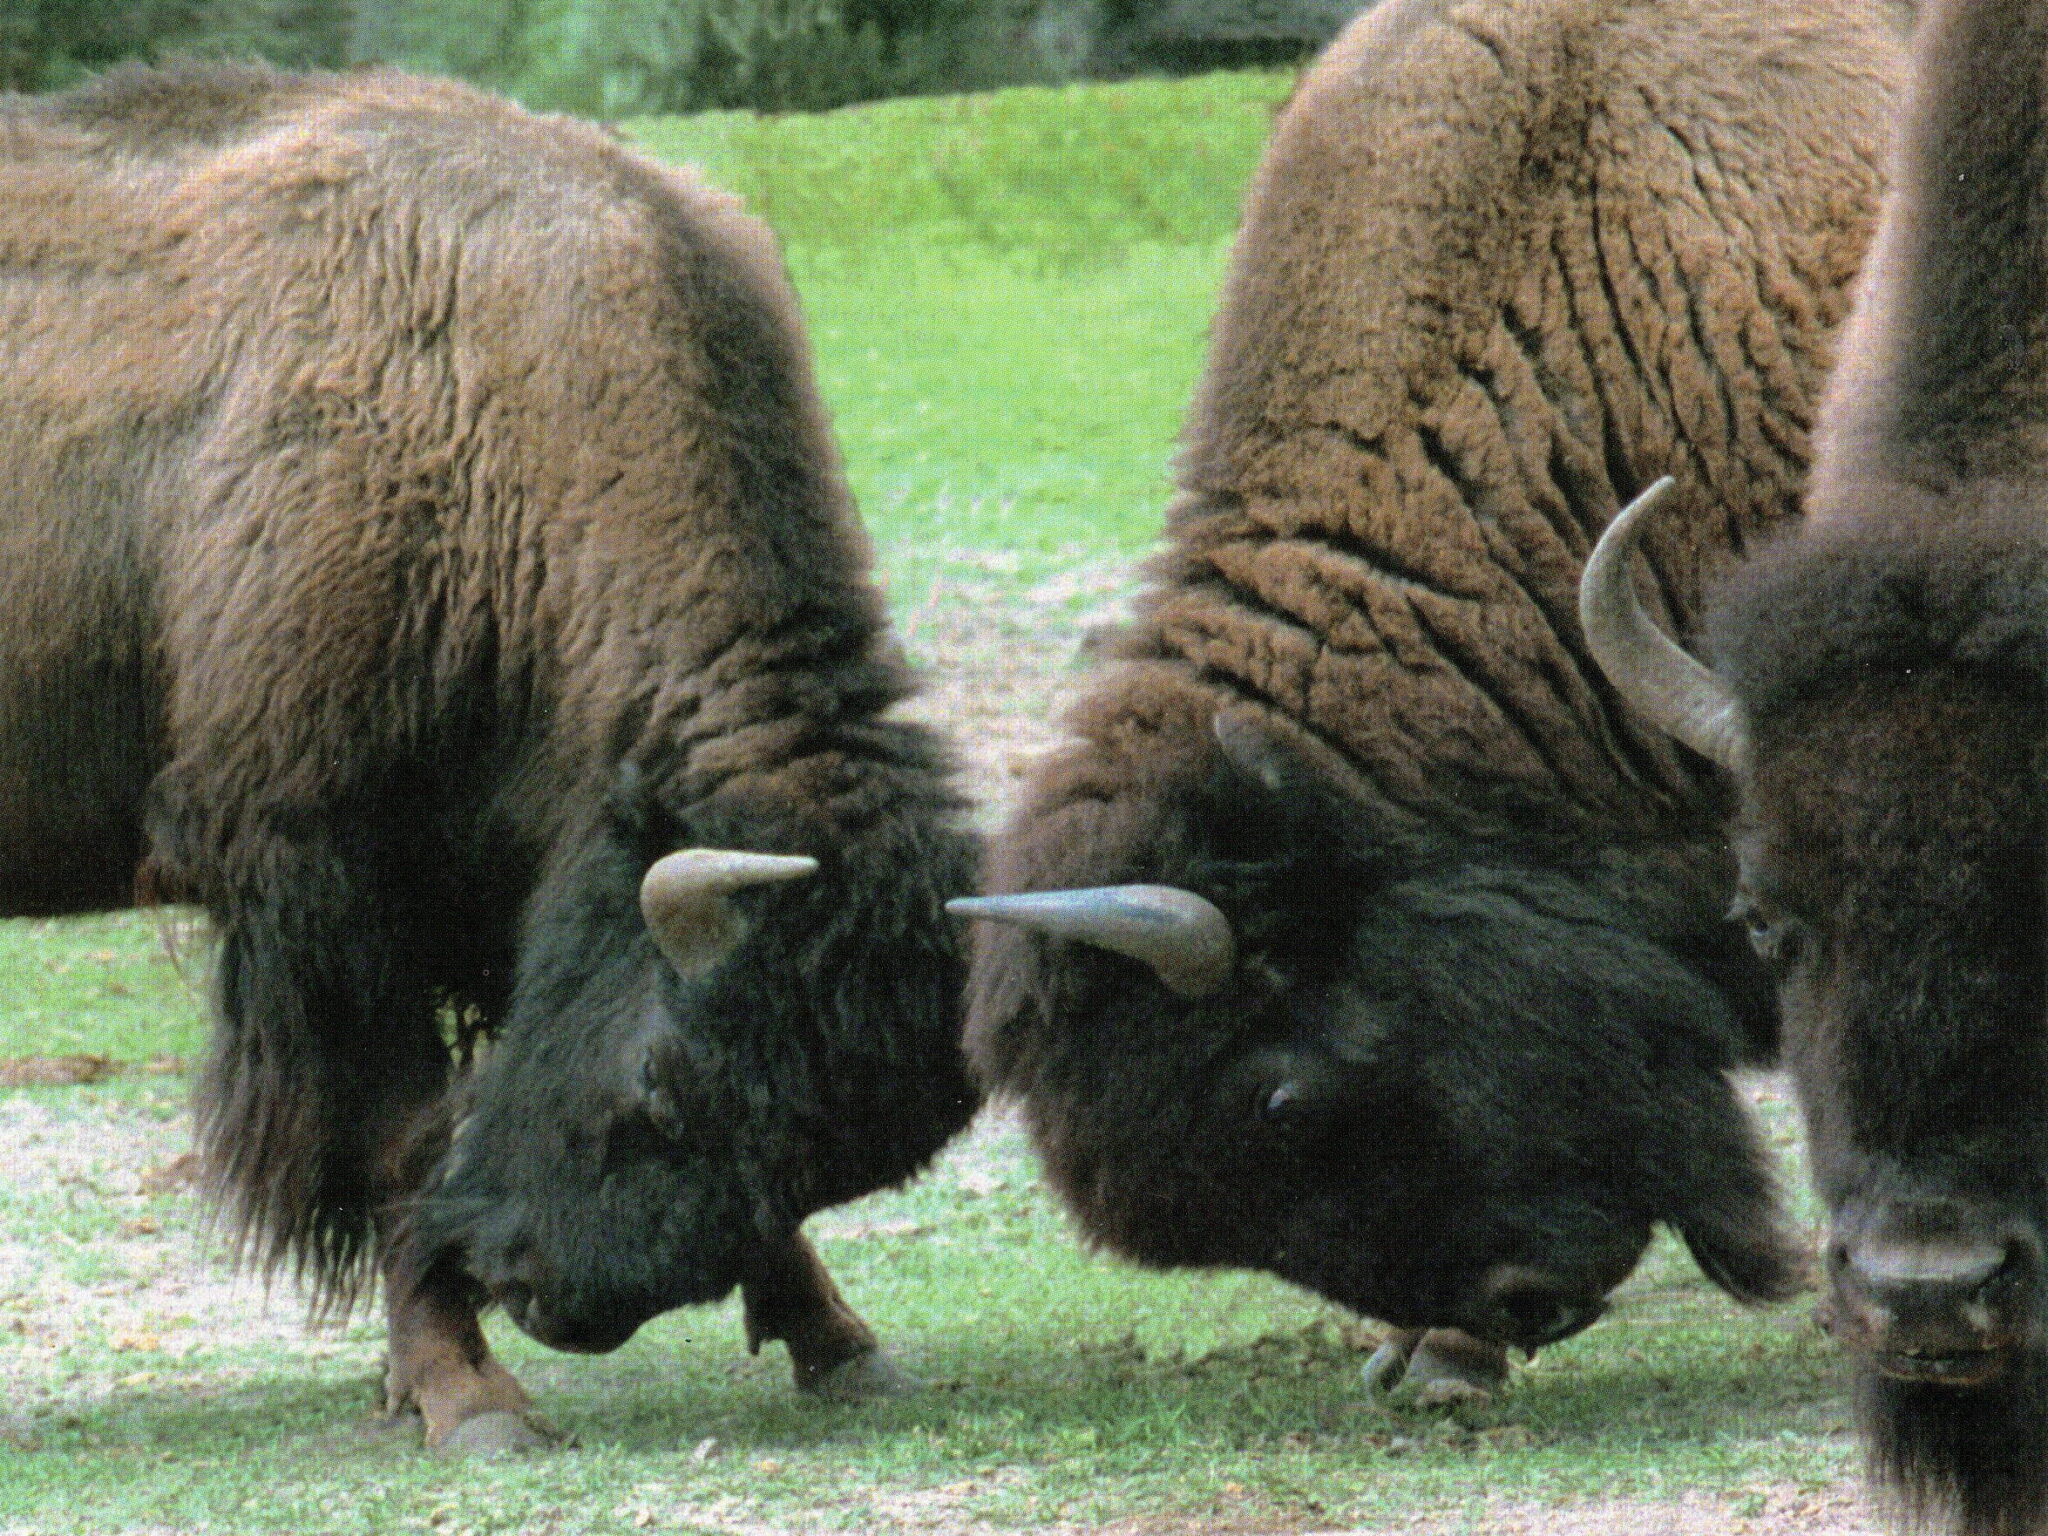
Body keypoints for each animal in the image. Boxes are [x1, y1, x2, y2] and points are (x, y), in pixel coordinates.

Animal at [0, 62, 977, 1450]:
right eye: (656, 1085)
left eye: (827, 1154)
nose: (551, 1300)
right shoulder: (332, 879)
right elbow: (402, 1139)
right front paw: (472, 1404)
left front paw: (843, 1345)